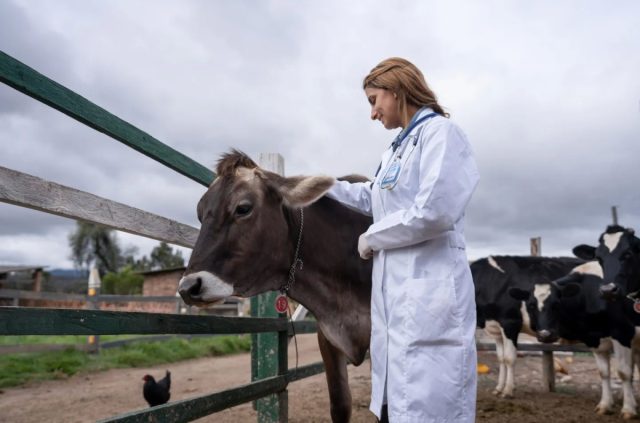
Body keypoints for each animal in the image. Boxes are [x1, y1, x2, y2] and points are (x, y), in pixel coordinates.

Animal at [470, 256, 584, 400]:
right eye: (531, 305)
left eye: (557, 305)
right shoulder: (496, 328)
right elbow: (501, 358)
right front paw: (498, 388)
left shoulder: (510, 323)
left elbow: (509, 358)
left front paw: (507, 391)